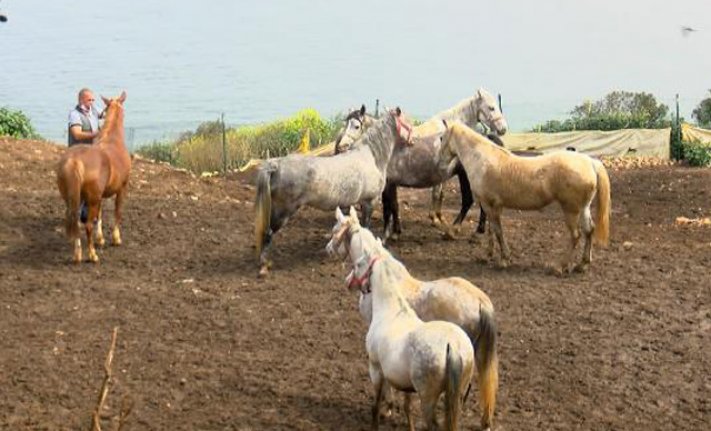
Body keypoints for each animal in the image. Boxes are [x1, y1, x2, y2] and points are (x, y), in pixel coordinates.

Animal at [57, 92, 131, 264]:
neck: (113, 140)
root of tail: (74, 160)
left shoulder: (100, 196)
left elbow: (100, 215)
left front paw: (100, 239)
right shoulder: (122, 188)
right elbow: (117, 212)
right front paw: (116, 239)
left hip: (74, 199)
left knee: (76, 221)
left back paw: (77, 254)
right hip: (91, 199)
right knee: (88, 225)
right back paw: (92, 255)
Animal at [256, 108, 412, 276]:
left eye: (356, 125)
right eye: (407, 122)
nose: (413, 140)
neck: (371, 156)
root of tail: (276, 165)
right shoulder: (370, 201)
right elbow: (365, 226)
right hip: (282, 212)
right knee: (268, 233)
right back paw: (264, 265)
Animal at [440, 120, 612, 274]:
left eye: (441, 138)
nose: (441, 163)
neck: (483, 160)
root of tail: (590, 162)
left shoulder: (490, 205)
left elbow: (498, 231)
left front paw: (503, 260)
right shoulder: (490, 206)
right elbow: (492, 230)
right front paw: (487, 256)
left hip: (571, 210)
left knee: (575, 235)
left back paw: (560, 267)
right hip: (583, 208)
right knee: (589, 230)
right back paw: (582, 265)